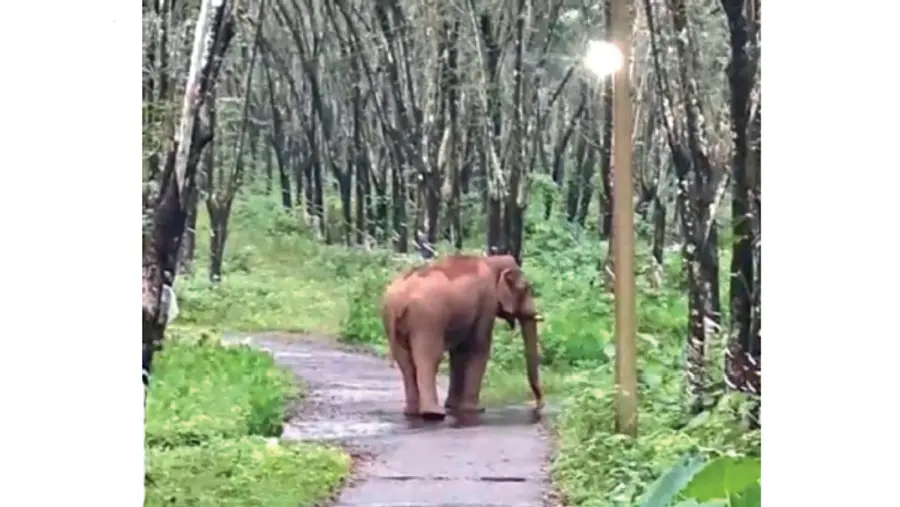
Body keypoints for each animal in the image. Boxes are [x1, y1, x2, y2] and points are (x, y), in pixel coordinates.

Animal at [381, 253, 543, 421]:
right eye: (525, 288)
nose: (539, 405)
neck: (491, 261)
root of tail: (401, 298)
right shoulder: (487, 300)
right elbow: (478, 348)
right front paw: (475, 410)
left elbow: (459, 352)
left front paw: (453, 406)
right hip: (427, 320)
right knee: (429, 358)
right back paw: (434, 414)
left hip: (391, 318)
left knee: (405, 362)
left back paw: (412, 412)